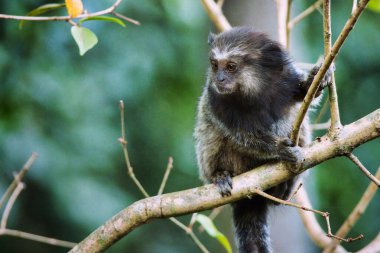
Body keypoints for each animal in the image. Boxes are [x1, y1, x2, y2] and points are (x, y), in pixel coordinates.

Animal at [194, 26, 332, 252]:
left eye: (231, 67)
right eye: (215, 65)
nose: (219, 79)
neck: (254, 90)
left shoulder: (286, 78)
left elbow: (305, 96)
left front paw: (318, 78)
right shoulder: (216, 100)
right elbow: (242, 135)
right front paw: (280, 149)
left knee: (298, 124)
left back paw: (283, 189)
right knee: (211, 136)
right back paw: (219, 175)